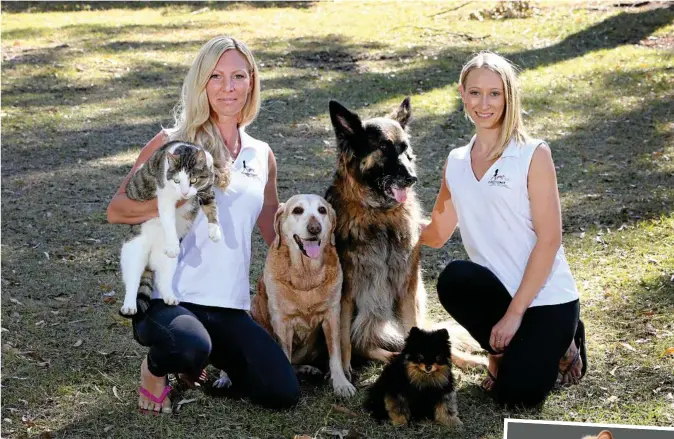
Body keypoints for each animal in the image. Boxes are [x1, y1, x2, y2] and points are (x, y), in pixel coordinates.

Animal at [247, 196, 352, 398]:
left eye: (322, 210)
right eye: (297, 210)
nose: (315, 228)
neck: (306, 275)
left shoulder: (332, 316)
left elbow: (335, 354)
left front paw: (341, 383)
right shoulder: (282, 322)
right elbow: (284, 356)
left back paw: (307, 369)